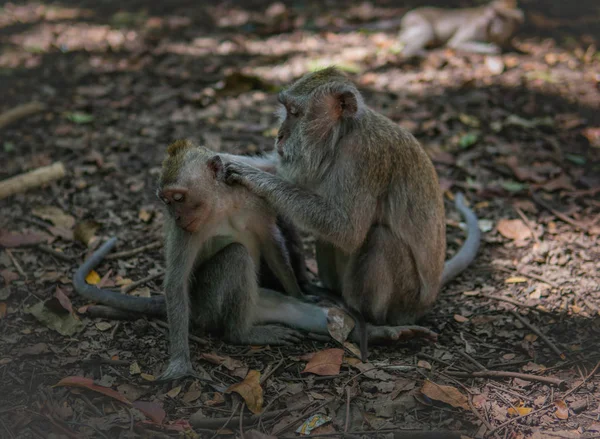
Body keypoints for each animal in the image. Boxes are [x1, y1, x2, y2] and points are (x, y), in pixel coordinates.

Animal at [218, 67, 480, 330]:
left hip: (406, 301)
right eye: (287, 110)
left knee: (381, 239)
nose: (279, 136)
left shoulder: (363, 158)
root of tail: (428, 299)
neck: (343, 135)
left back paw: (367, 317)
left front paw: (253, 176)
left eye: (294, 112)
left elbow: (348, 231)